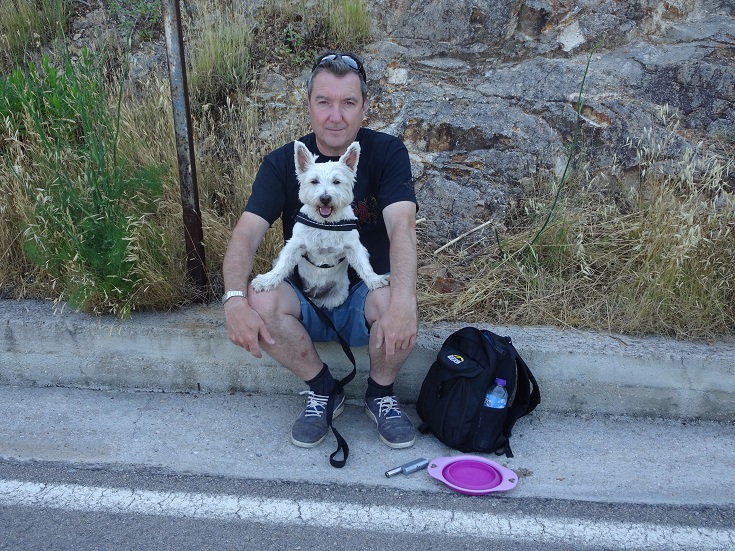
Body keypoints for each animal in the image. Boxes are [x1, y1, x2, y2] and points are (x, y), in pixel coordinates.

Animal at [252, 139, 392, 310]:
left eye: (336, 181)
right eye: (314, 181)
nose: (325, 198)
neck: (326, 223)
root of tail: (314, 295)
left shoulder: (353, 246)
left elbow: (364, 265)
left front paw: (375, 280)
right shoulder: (295, 245)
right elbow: (283, 265)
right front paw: (266, 280)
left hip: (336, 297)